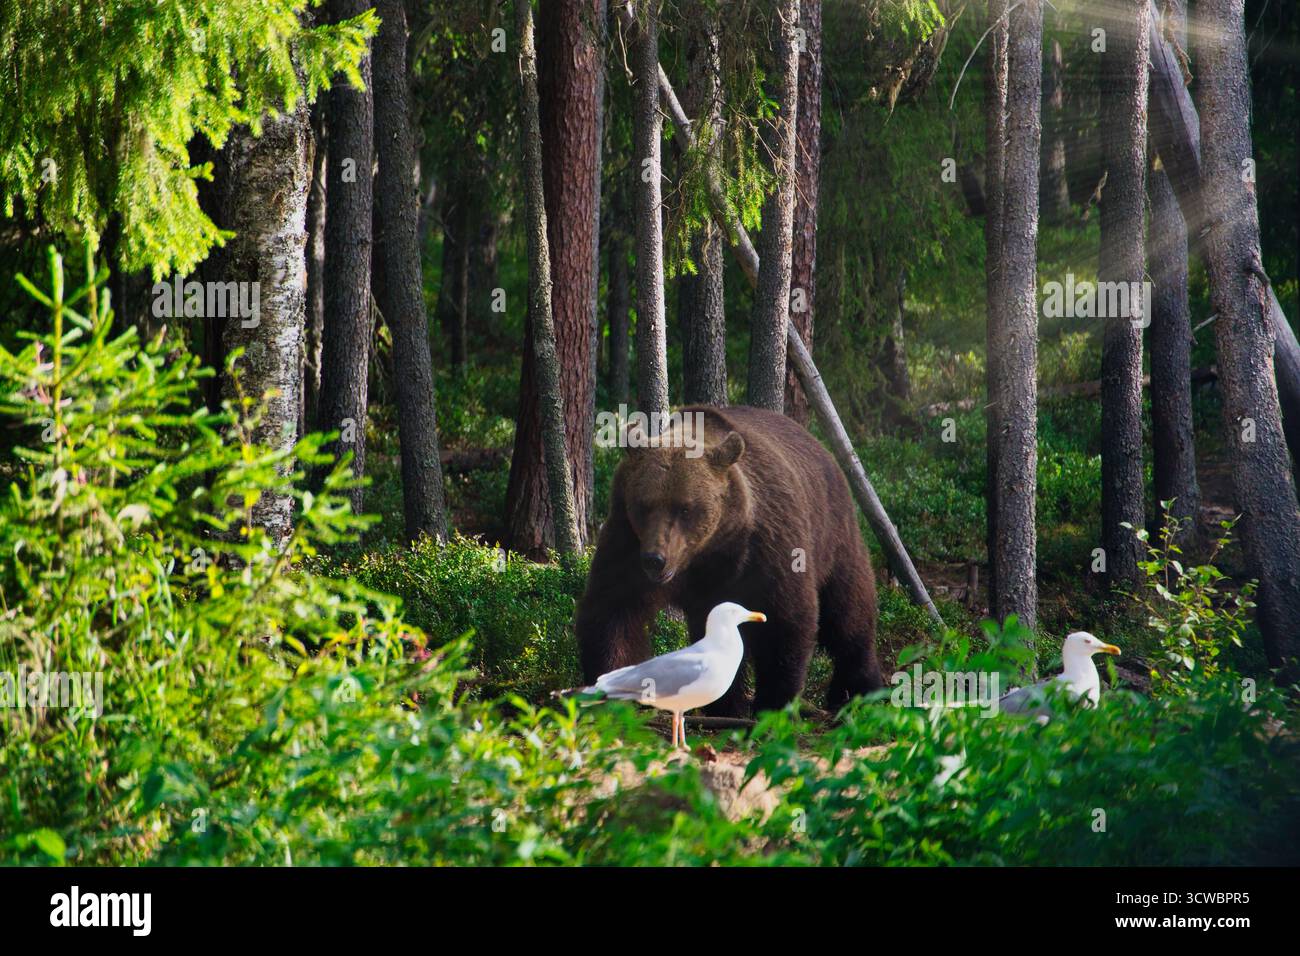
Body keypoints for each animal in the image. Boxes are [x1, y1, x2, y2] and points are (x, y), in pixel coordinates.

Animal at [575, 404, 883, 716]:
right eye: (644, 505)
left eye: (685, 508)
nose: (655, 560)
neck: (708, 551)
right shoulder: (627, 538)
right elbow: (614, 610)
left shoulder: (767, 545)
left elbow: (785, 618)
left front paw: (772, 702)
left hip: (833, 533)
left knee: (847, 610)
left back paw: (858, 687)